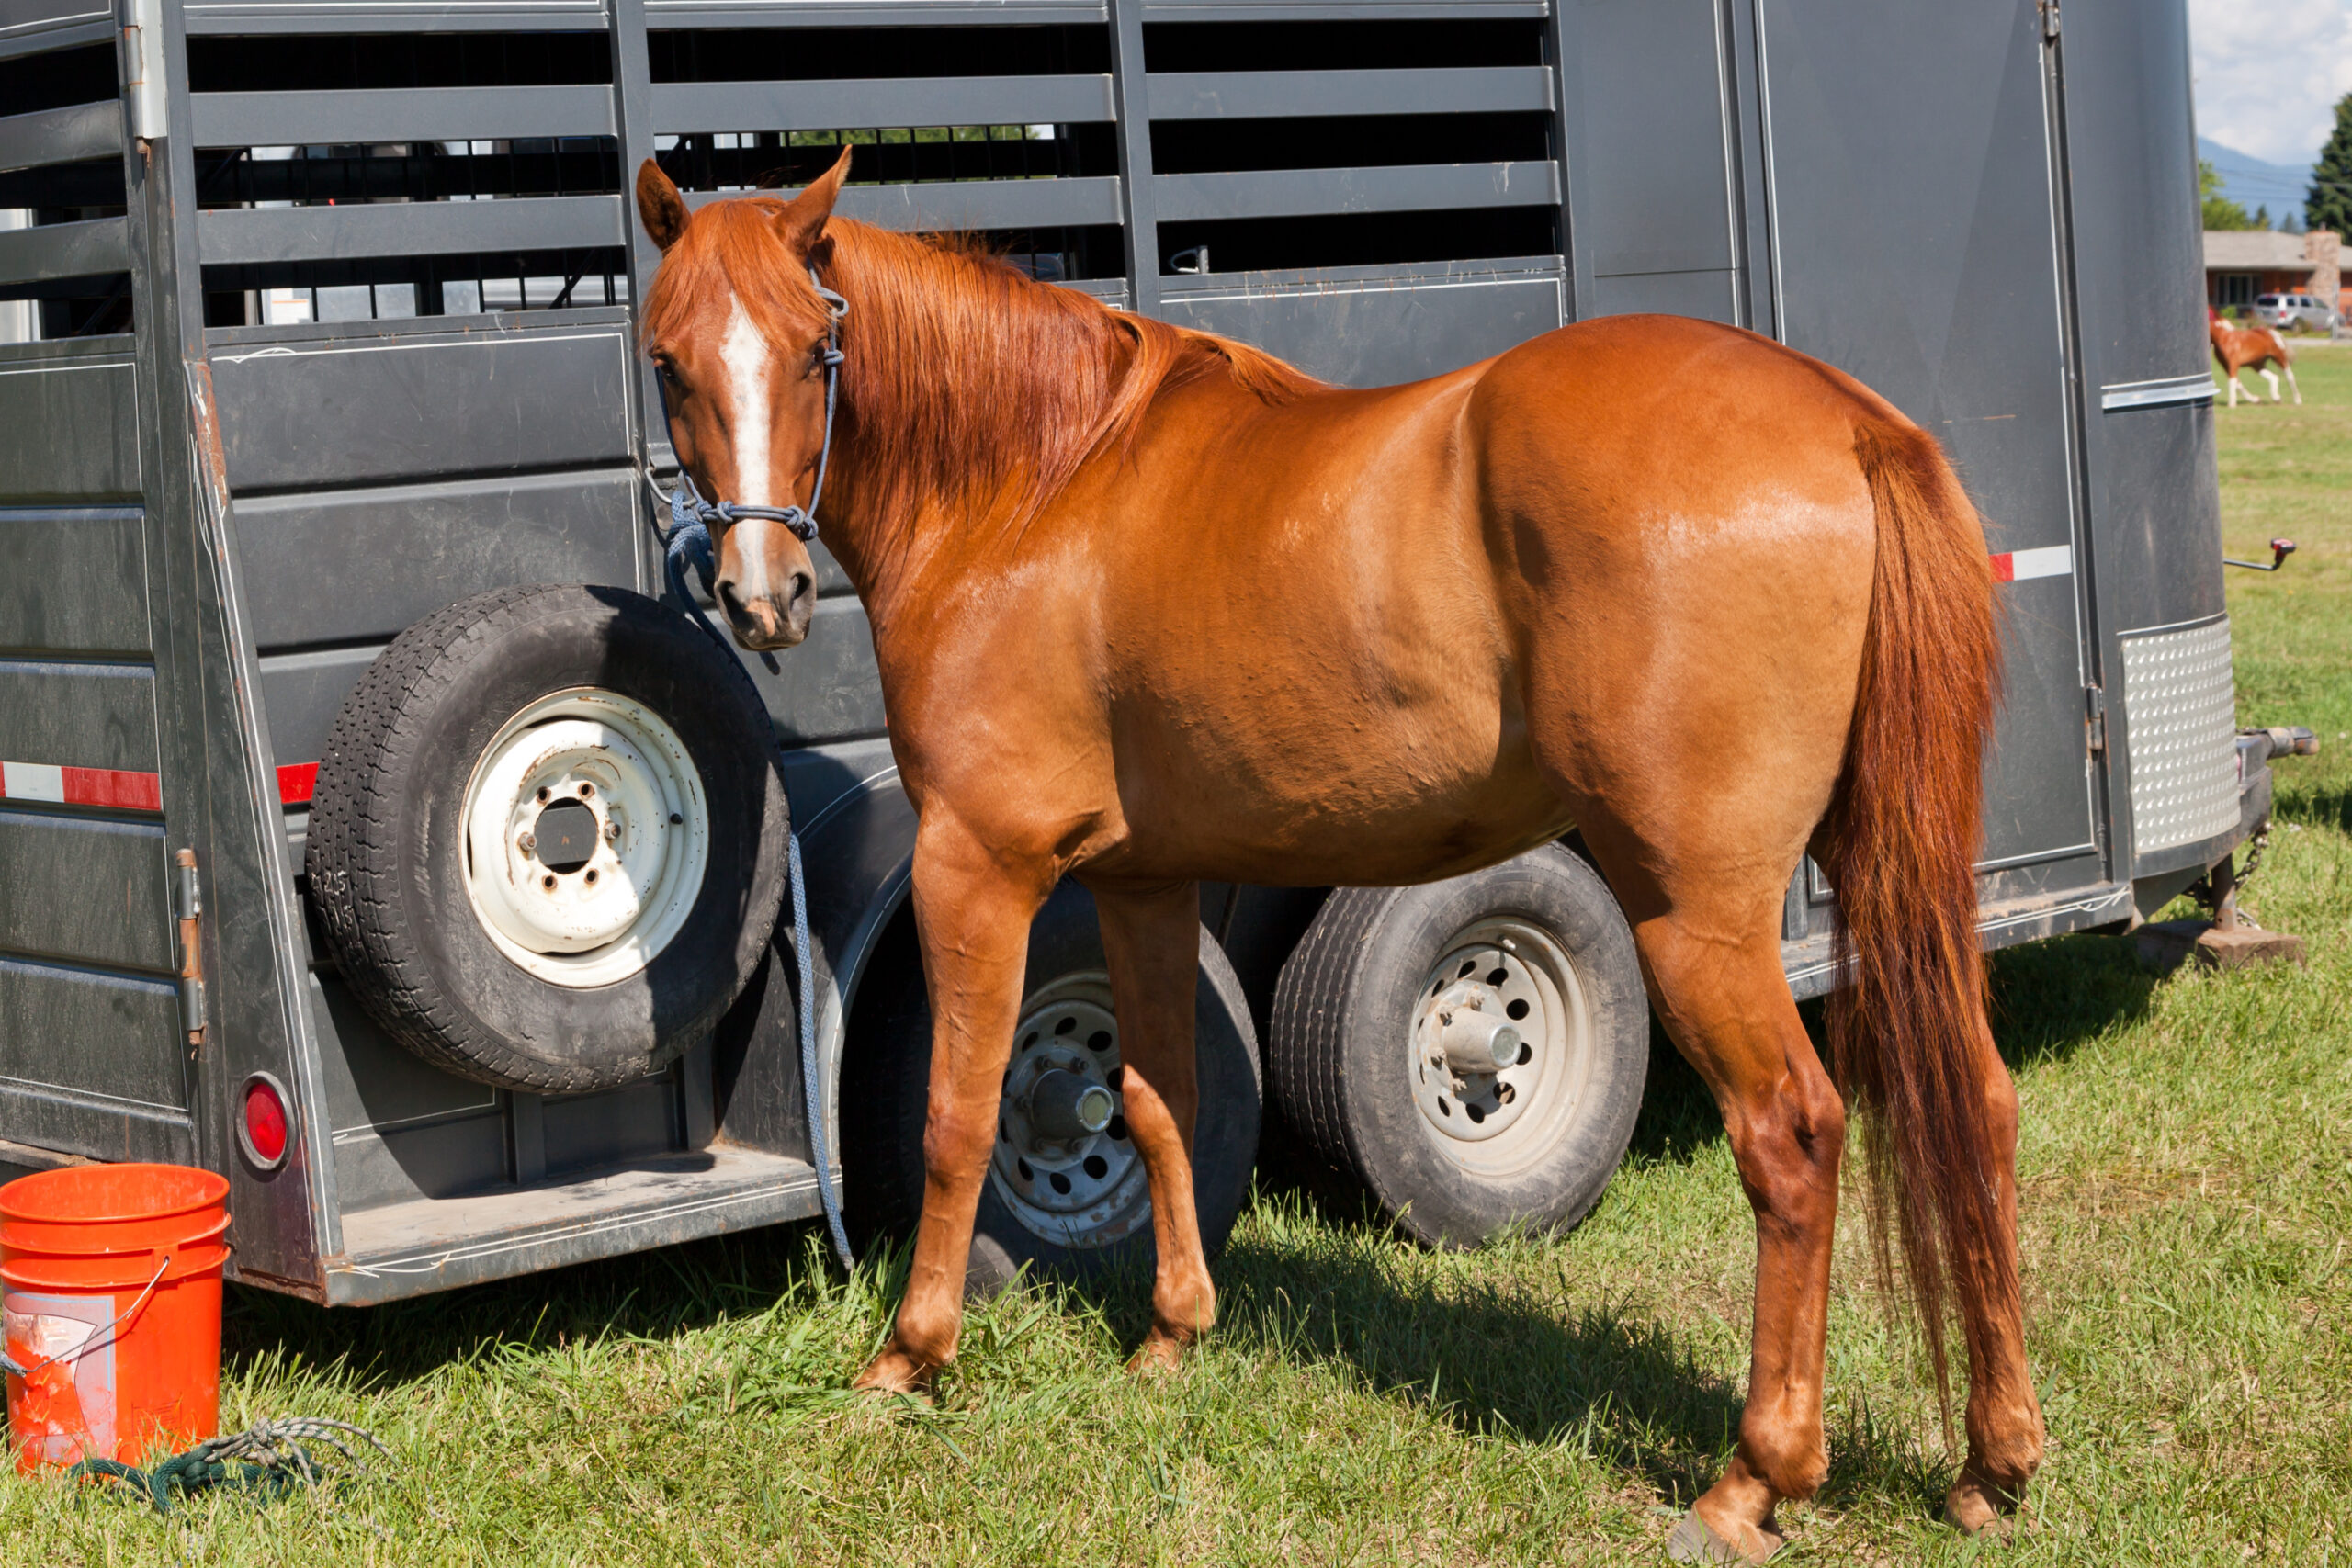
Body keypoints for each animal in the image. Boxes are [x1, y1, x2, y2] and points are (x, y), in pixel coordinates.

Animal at [633, 148, 2041, 1562]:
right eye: (667, 362)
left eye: (816, 351)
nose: (763, 597)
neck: (1037, 489)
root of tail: (1845, 421)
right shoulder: (1142, 880)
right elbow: (1157, 1095)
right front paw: (1172, 1334)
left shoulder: (976, 863)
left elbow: (956, 1112)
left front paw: (909, 1355)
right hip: (1885, 867)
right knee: (1971, 1098)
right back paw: (1995, 1459)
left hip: (1692, 910)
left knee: (1792, 1134)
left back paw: (1756, 1474)